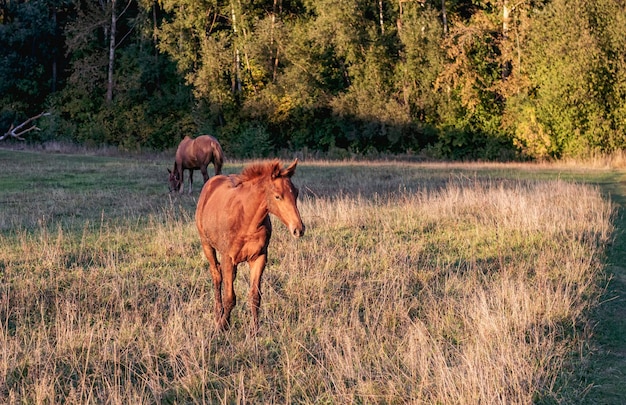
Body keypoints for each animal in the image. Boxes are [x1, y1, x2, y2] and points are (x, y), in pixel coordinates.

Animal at [194, 158, 304, 332]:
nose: (298, 229)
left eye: (296, 192)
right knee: (216, 275)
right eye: (277, 196)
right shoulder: (227, 258)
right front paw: (221, 327)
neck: (247, 221)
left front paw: (254, 331)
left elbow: (255, 296)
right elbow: (230, 297)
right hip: (207, 245)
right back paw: (218, 314)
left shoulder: (259, 258)